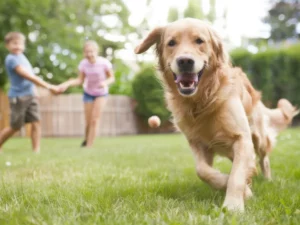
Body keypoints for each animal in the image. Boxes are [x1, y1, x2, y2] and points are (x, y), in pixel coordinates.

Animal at [135, 18, 298, 212]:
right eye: (171, 43)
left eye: (199, 41)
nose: (185, 61)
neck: (202, 101)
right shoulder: (197, 142)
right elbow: (203, 171)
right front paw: (230, 184)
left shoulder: (242, 139)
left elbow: (237, 176)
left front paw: (233, 205)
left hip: (258, 138)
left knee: (264, 158)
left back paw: (267, 178)